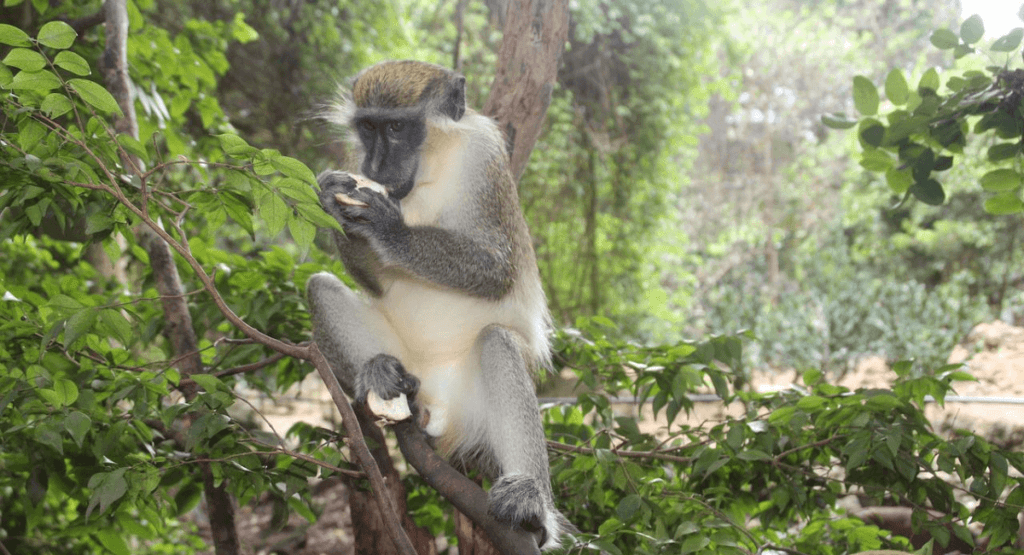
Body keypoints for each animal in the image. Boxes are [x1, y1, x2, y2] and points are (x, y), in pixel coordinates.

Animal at [303, 58, 577, 548]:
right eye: (368, 127)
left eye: (396, 127)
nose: (374, 164)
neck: (429, 169)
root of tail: (441, 407)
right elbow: (376, 283)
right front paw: (332, 198)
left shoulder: (484, 160)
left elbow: (496, 268)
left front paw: (390, 229)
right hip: (409, 363)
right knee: (318, 287)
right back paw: (383, 377)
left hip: (475, 404)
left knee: (497, 342)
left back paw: (532, 509)